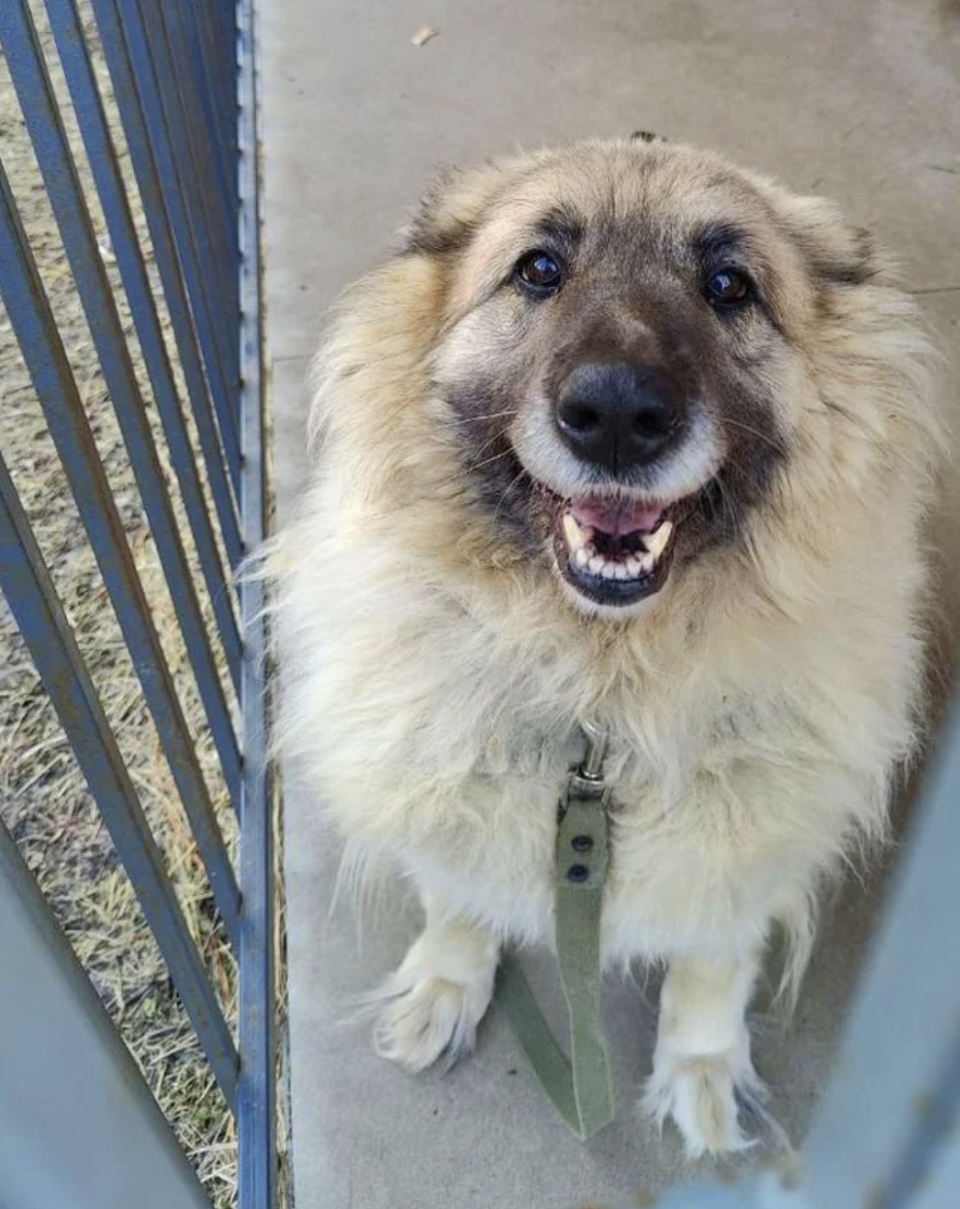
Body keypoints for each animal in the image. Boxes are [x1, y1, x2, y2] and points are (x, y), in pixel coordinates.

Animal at [267, 137, 933, 1155]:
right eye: (539, 270)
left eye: (729, 284)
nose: (618, 415)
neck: (601, 703)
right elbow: (456, 898)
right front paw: (446, 980)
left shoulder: (744, 858)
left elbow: (712, 966)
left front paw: (701, 1069)